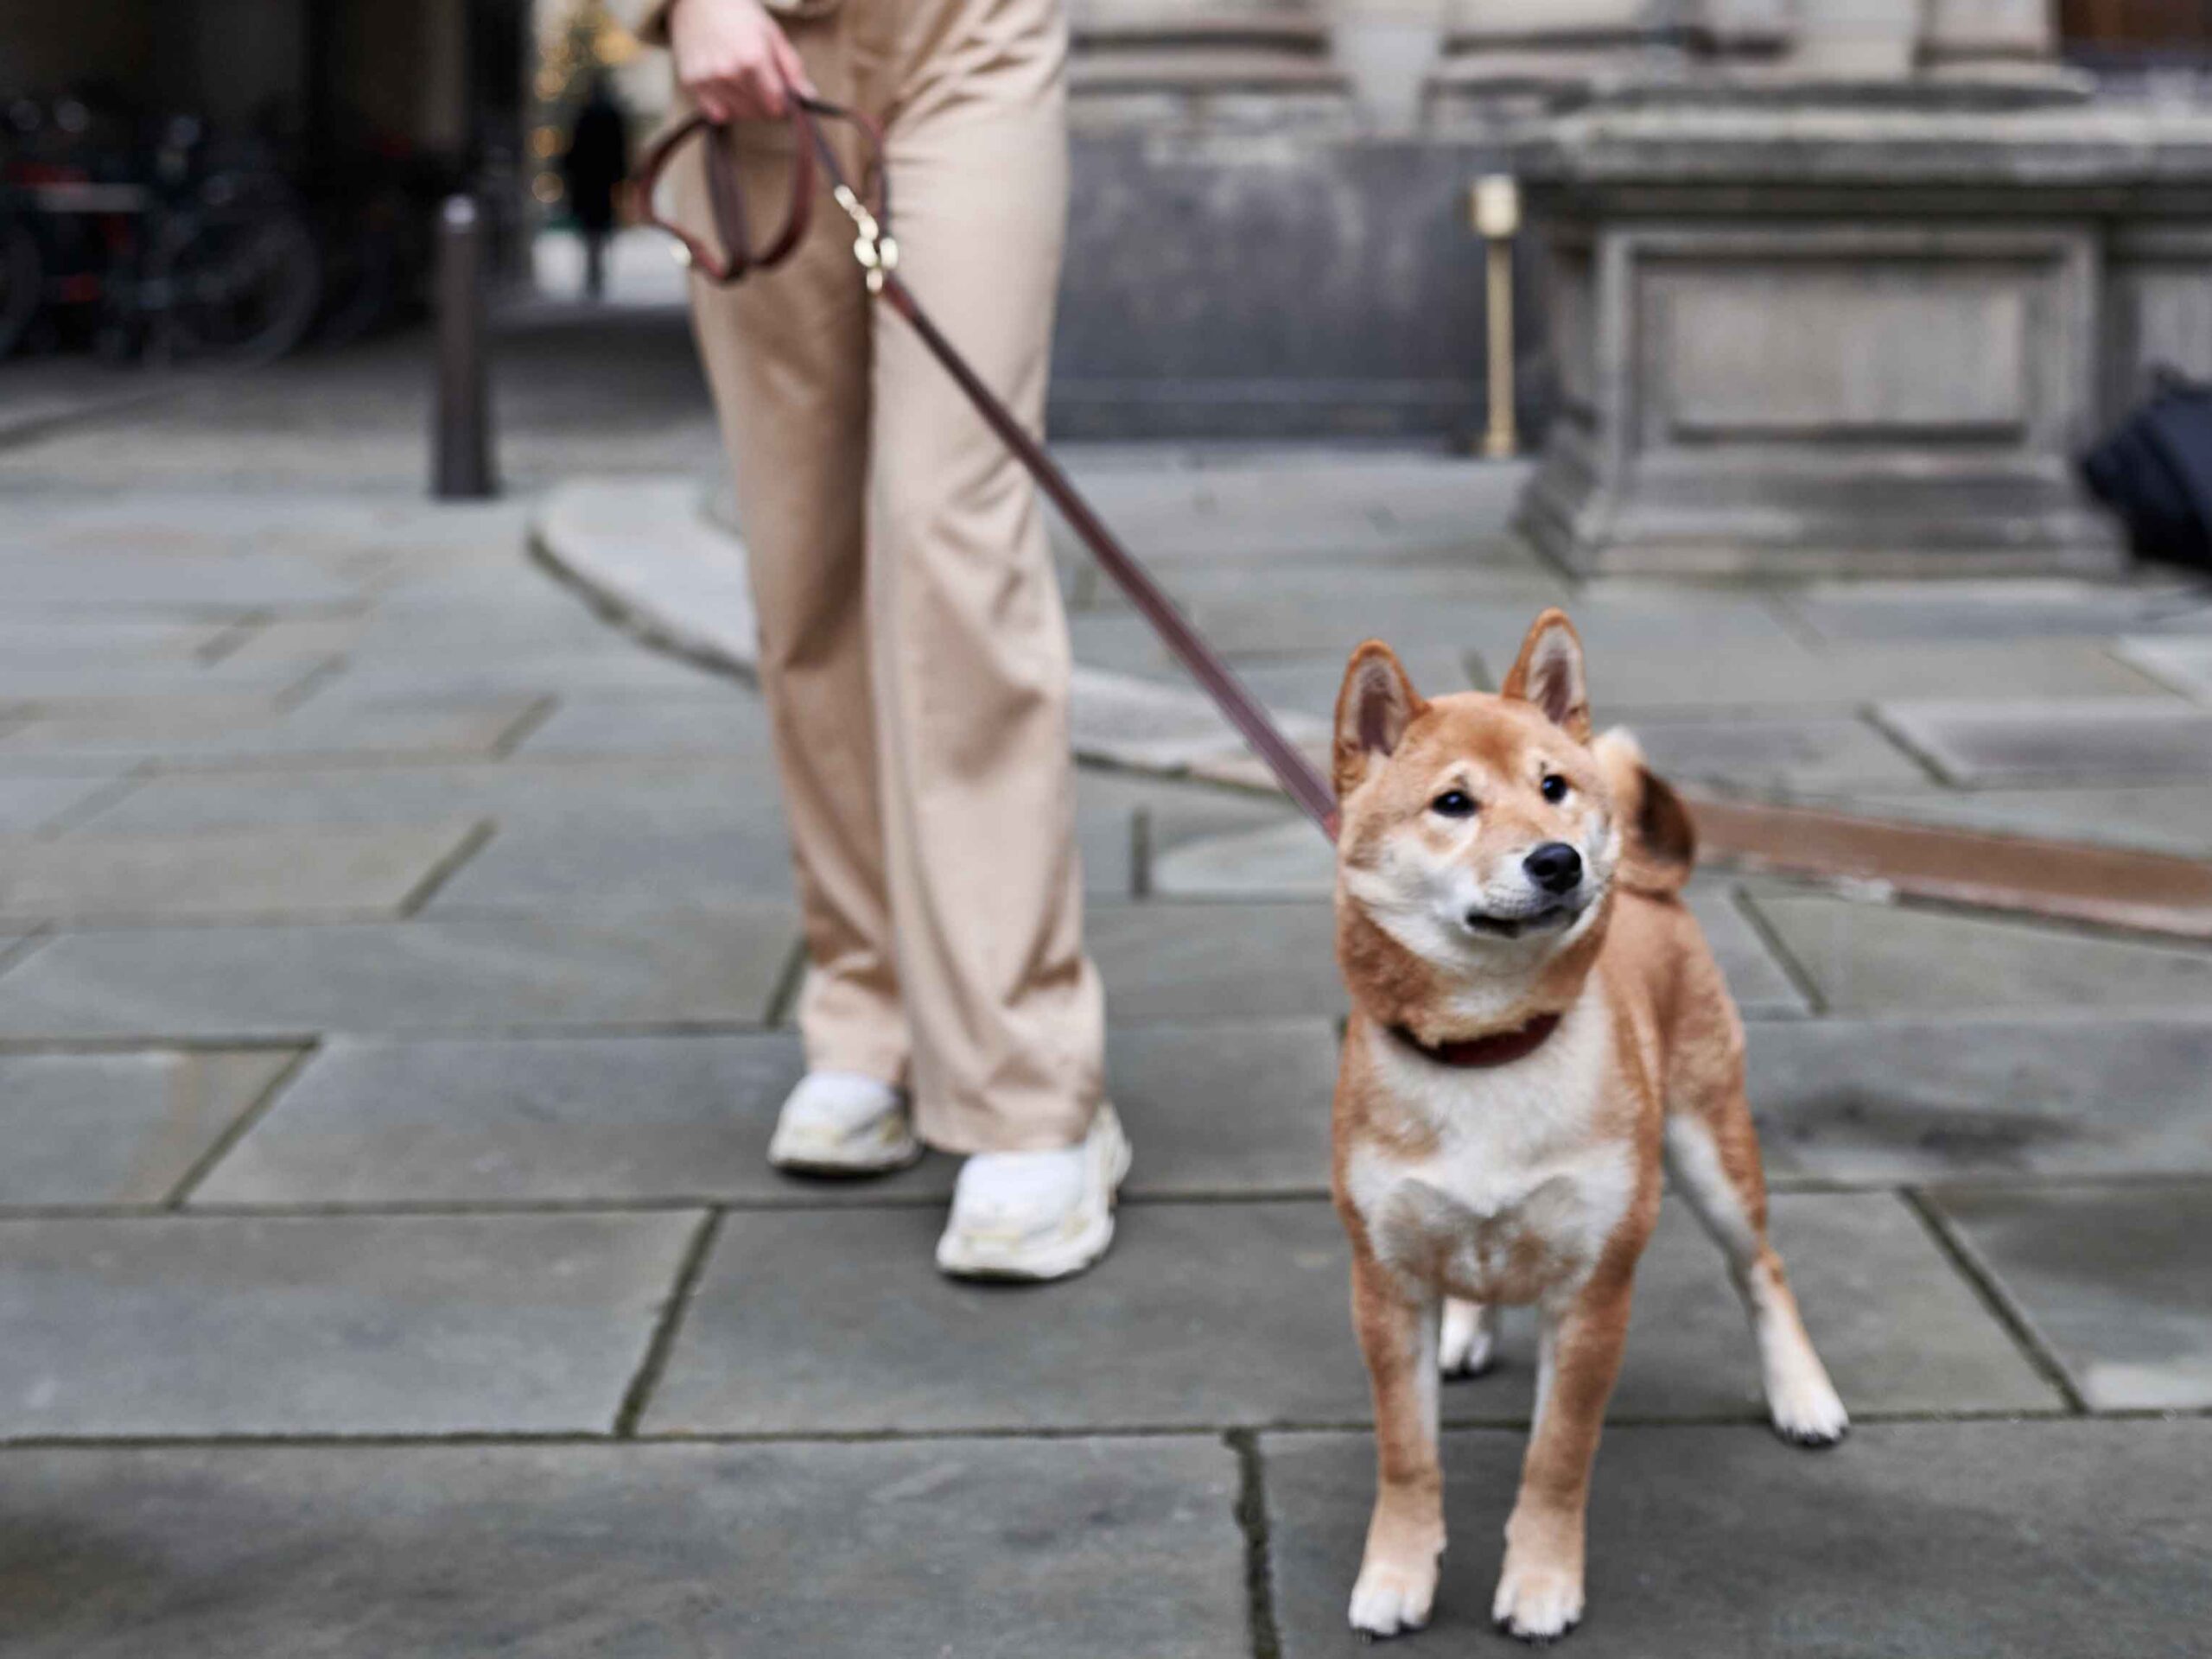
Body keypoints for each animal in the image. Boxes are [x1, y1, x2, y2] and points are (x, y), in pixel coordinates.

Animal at [1318, 614, 1840, 1654]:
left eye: (1553, 786)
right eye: (1453, 803)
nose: (1560, 859)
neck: (1490, 1052)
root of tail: (1650, 890)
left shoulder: (1597, 1293)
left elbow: (1557, 1459)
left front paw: (1542, 1583)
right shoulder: (1385, 1285)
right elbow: (1407, 1456)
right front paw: (1396, 1574)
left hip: (1709, 1148)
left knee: (1760, 1267)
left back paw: (1803, 1394)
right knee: (1480, 1270)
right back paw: (1469, 1329)